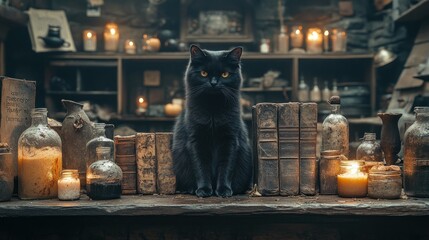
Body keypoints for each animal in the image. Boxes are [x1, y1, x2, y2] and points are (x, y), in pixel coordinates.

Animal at [172, 44, 252, 197]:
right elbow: (201, 167)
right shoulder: (196, 140)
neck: (213, 110)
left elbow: (226, 167)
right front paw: (204, 190)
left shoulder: (230, 139)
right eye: (204, 73)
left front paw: (224, 190)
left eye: (225, 74)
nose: (214, 83)